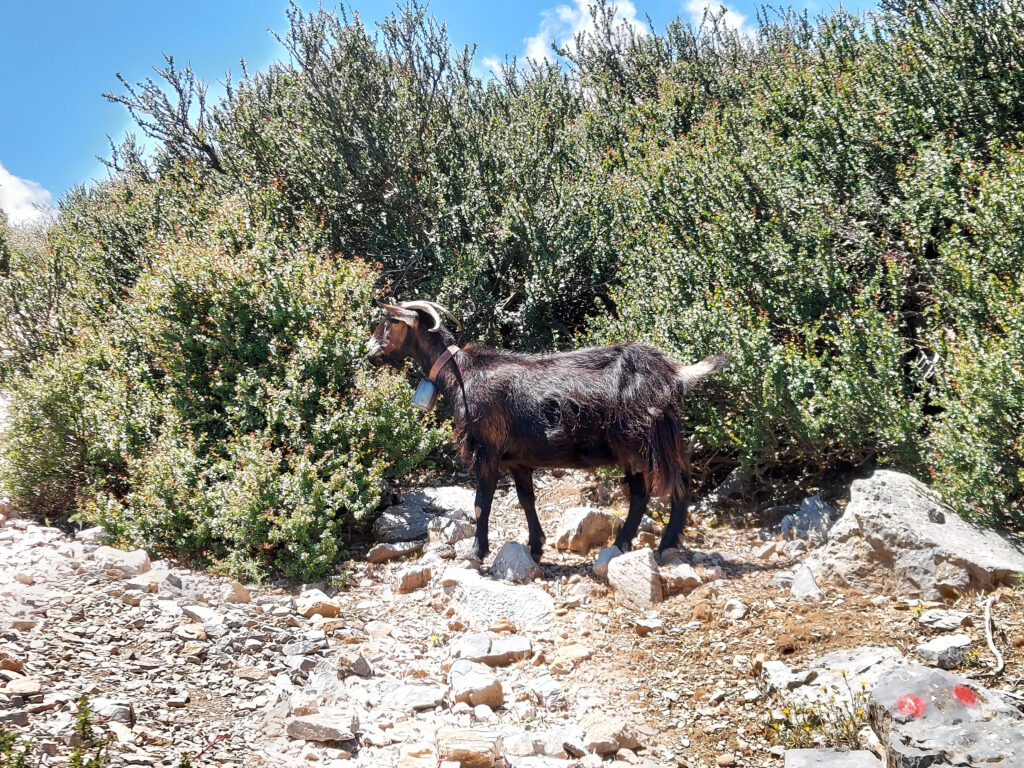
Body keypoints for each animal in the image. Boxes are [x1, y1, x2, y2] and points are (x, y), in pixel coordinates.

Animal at [367, 300, 729, 562]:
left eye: (389, 322)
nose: (370, 352)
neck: (460, 375)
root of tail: (674, 375)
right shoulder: (517, 459)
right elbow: (527, 500)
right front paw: (536, 546)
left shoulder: (486, 450)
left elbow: (481, 503)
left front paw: (476, 553)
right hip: (644, 446)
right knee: (648, 492)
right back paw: (624, 543)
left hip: (643, 442)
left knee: (673, 486)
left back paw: (663, 545)